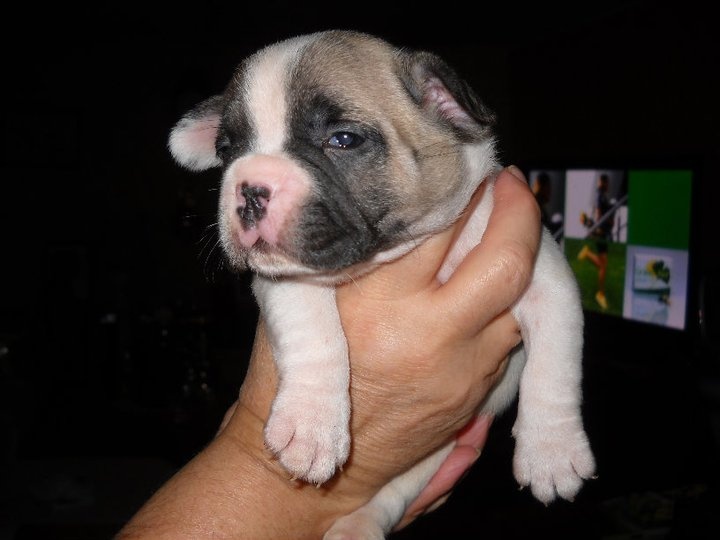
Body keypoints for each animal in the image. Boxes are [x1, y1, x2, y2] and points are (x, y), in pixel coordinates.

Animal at [169, 30, 596, 540]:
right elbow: (314, 331)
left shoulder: (545, 277)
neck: (394, 254)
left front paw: (552, 451)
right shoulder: (284, 277)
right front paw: (311, 422)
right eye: (227, 149)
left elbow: (554, 367)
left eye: (343, 139)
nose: (250, 187)